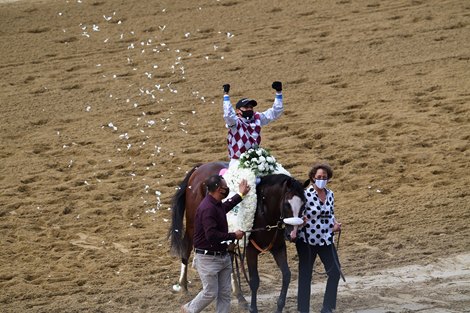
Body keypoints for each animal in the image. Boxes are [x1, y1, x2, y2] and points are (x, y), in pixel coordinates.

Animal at [169, 162, 304, 310]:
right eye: (286, 204)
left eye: (304, 204)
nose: (293, 235)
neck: (263, 210)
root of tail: (199, 168)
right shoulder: (251, 250)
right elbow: (254, 280)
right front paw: (253, 308)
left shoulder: (278, 247)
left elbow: (287, 275)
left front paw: (279, 306)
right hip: (193, 224)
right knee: (187, 247)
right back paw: (183, 285)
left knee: (229, 257)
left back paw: (239, 296)